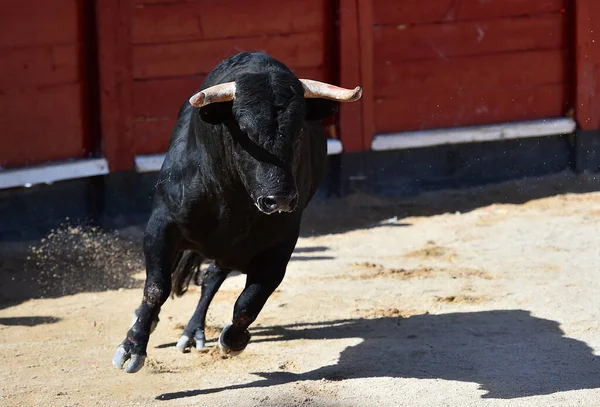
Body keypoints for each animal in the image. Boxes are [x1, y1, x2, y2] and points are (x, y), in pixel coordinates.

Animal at [115, 51, 364, 372]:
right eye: (244, 133)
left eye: (299, 133)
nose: (279, 200)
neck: (231, 198)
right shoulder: (161, 225)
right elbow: (156, 286)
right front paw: (132, 347)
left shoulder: (280, 245)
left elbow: (249, 302)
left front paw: (234, 340)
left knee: (212, 278)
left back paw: (193, 332)